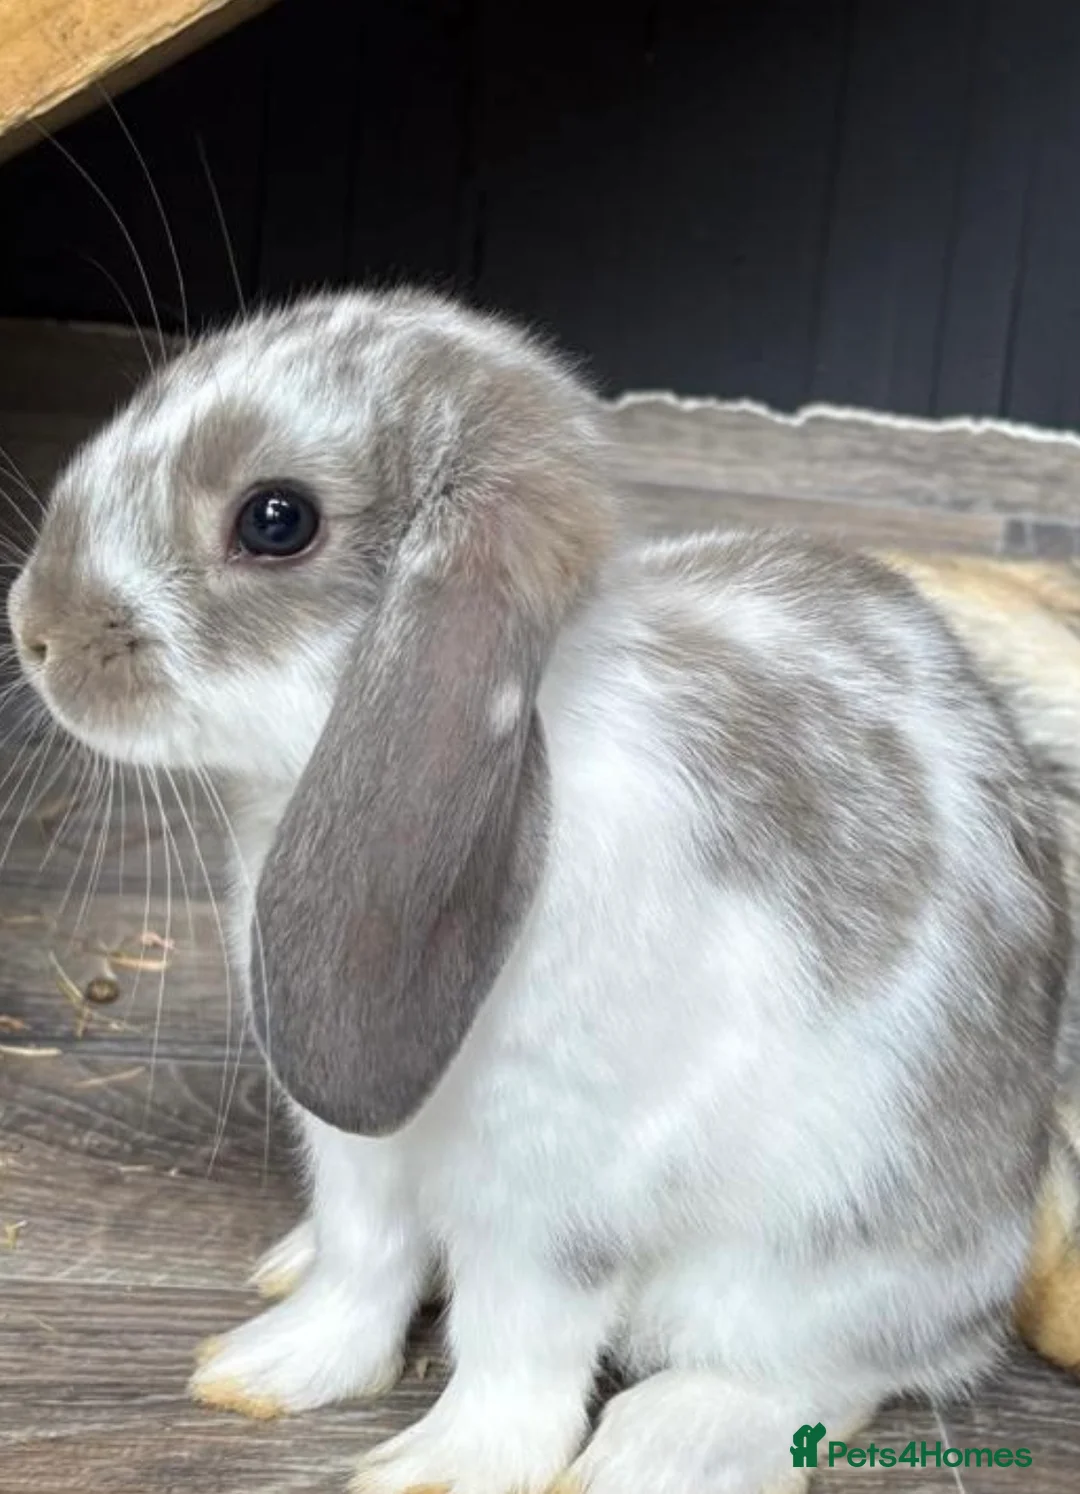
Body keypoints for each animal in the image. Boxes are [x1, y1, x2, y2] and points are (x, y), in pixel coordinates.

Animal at [6, 288, 1071, 1494]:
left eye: (275, 520)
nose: (34, 629)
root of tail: (988, 1270)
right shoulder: (359, 1150)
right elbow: (363, 1263)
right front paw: (265, 1370)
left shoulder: (548, 1181)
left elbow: (519, 1334)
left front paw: (443, 1466)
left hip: (817, 1268)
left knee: (830, 1377)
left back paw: (661, 1446)